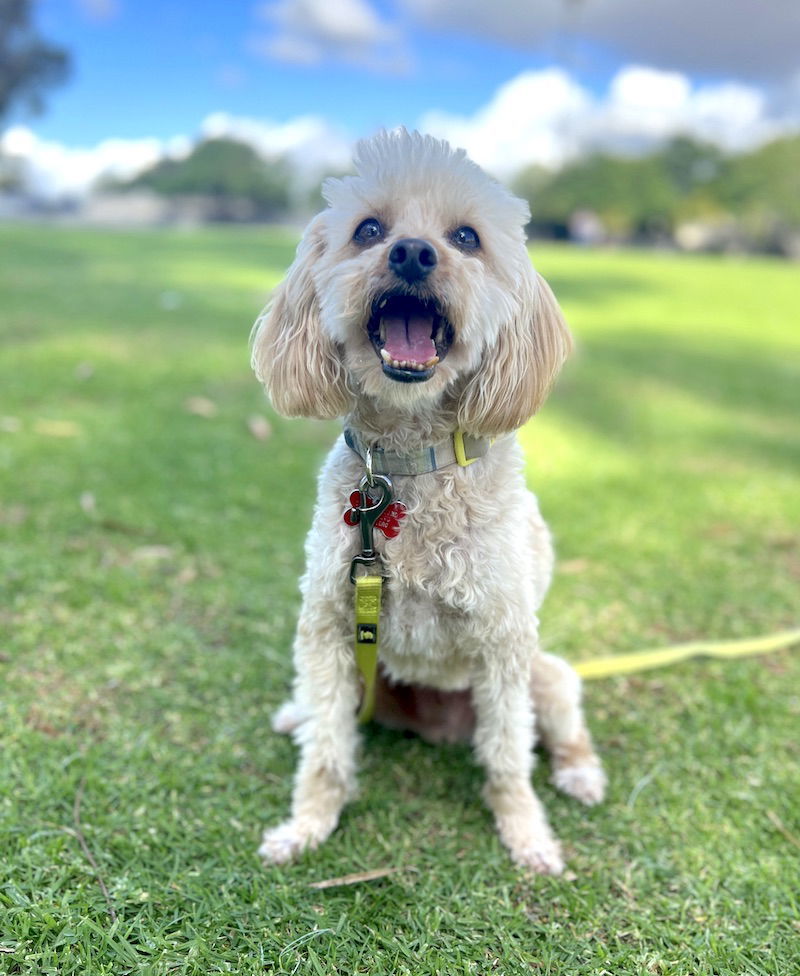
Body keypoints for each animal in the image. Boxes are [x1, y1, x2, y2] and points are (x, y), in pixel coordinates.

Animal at [253, 127, 604, 868]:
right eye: (368, 229)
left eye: (466, 237)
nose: (412, 252)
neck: (409, 464)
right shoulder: (328, 629)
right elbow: (327, 753)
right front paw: (307, 826)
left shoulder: (504, 645)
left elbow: (507, 759)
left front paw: (527, 836)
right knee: (322, 718)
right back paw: (297, 714)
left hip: (548, 675)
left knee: (562, 729)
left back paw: (582, 774)